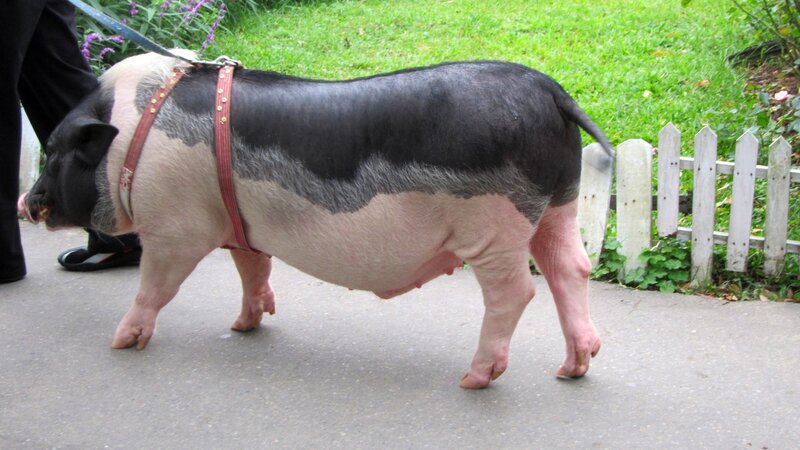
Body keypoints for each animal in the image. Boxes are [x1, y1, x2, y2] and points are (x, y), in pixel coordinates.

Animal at [19, 52, 613, 389]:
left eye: (55, 152)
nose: (26, 203)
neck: (132, 138)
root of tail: (550, 91)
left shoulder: (174, 229)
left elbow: (156, 286)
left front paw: (121, 342)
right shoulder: (238, 223)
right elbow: (252, 269)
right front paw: (244, 325)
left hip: (494, 223)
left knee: (516, 292)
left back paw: (473, 380)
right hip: (559, 201)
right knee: (571, 268)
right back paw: (573, 368)